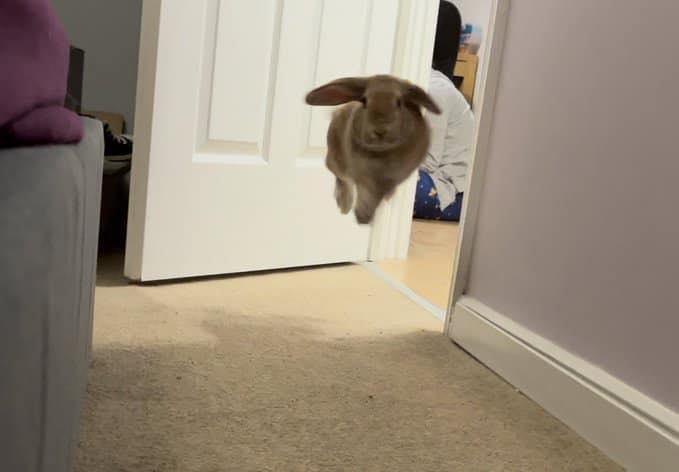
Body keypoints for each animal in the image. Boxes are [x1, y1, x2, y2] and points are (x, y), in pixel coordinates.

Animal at [305, 75, 441, 224]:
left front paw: (365, 216)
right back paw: (345, 205)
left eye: (399, 102)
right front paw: (362, 216)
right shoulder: (362, 178)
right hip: (335, 160)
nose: (380, 131)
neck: (382, 152)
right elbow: (364, 194)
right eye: (365, 101)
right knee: (342, 179)